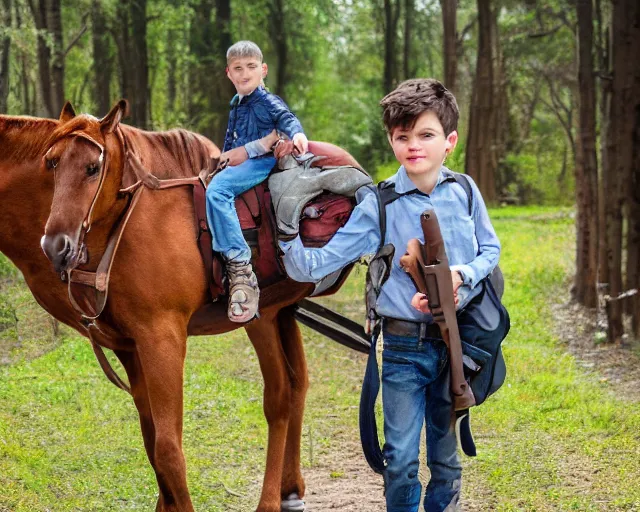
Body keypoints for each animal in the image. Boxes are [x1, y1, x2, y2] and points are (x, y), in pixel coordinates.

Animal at [33, 101, 330, 512]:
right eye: (52, 163)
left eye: (93, 167)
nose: (54, 246)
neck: (135, 223)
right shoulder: (133, 345)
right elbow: (152, 444)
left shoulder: (163, 340)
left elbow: (168, 449)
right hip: (284, 313)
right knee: (298, 386)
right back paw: (291, 490)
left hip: (262, 319)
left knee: (280, 399)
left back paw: (270, 499)